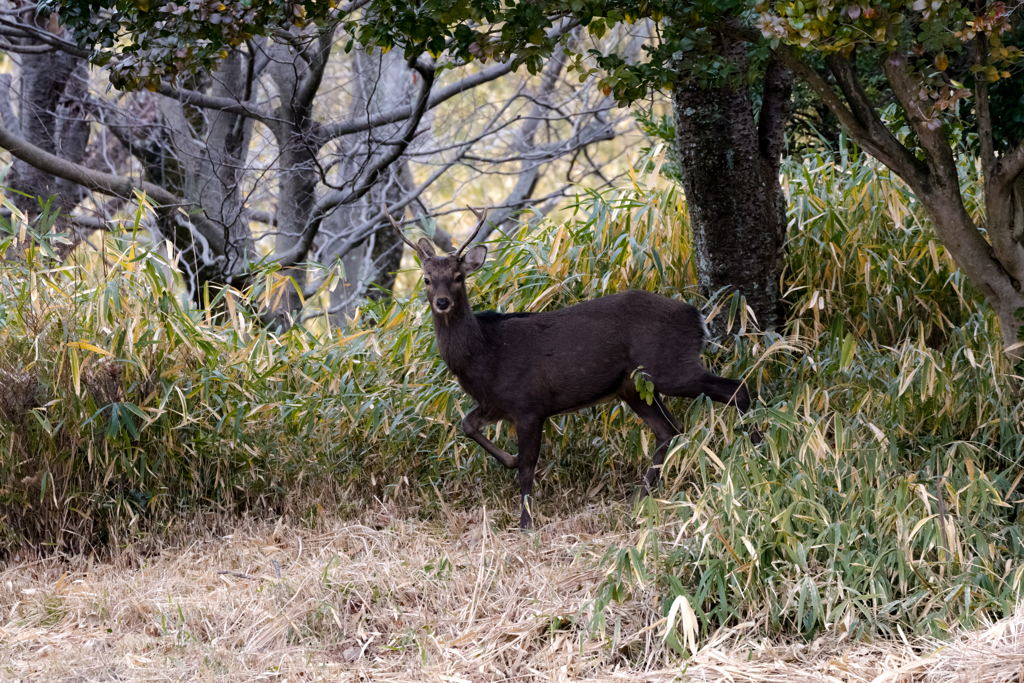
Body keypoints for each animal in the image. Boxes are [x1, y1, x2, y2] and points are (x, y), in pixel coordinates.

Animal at [385, 206, 761, 528]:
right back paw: (639, 499)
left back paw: (757, 454)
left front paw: (526, 524)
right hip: (632, 386)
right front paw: (509, 463)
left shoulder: (528, 403)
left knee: (737, 388)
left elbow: (527, 467)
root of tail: (698, 318)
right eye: (426, 279)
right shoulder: (496, 404)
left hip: (669, 366)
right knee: (669, 430)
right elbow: (467, 425)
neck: (485, 356)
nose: (442, 302)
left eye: (458, 276)